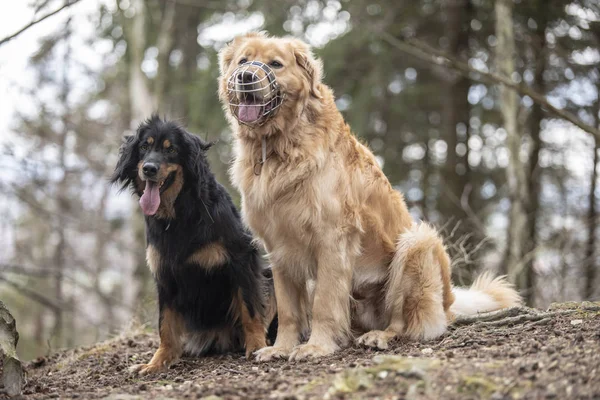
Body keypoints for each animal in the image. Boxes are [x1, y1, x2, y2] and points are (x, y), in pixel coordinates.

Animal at [111, 115, 276, 376]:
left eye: (171, 150)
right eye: (144, 147)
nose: (149, 168)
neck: (179, 214)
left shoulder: (241, 259)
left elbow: (249, 307)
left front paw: (257, 345)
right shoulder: (164, 273)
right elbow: (165, 324)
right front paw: (158, 361)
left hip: (270, 276)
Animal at [218, 32, 524, 362]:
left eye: (275, 64)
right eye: (243, 61)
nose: (246, 77)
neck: (278, 147)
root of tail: (450, 303)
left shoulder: (332, 239)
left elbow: (324, 303)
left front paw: (315, 346)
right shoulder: (279, 247)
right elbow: (288, 309)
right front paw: (281, 348)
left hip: (417, 242)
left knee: (405, 322)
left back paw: (380, 336)